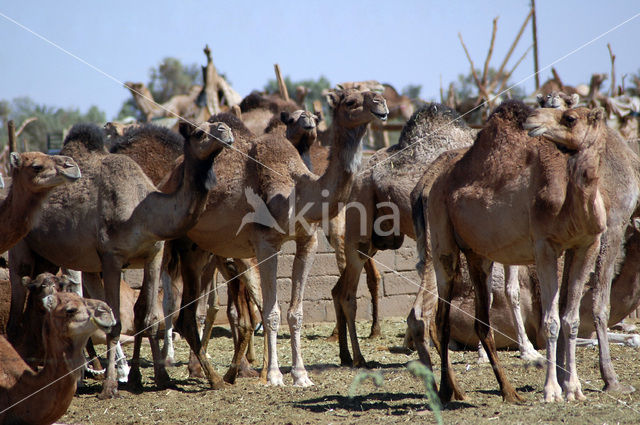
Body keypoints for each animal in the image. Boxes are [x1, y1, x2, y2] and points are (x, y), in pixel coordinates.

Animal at [7, 118, 234, 398]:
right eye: (200, 132)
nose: (225, 130)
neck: (143, 211)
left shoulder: (154, 254)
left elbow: (147, 318)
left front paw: (158, 377)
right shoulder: (111, 258)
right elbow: (114, 322)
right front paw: (110, 387)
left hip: (48, 258)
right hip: (21, 252)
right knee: (14, 316)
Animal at [162, 88, 388, 388]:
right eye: (351, 101)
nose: (380, 102)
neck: (297, 190)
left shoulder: (308, 241)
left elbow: (296, 312)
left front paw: (301, 375)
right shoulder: (266, 244)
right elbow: (271, 312)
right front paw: (273, 375)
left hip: (199, 250)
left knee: (189, 313)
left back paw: (214, 376)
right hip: (167, 240)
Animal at [330, 102, 476, 364]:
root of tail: (362, 174)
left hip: (375, 237)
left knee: (339, 289)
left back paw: (346, 355)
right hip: (362, 227)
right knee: (347, 294)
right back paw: (360, 358)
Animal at [422, 99, 608, 400]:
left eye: (570, 118)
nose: (534, 118)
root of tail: (433, 182)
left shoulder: (587, 245)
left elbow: (572, 320)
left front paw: (574, 389)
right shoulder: (545, 247)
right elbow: (551, 321)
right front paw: (552, 391)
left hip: (477, 254)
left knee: (480, 320)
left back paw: (508, 392)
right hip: (442, 236)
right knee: (441, 318)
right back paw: (450, 391)